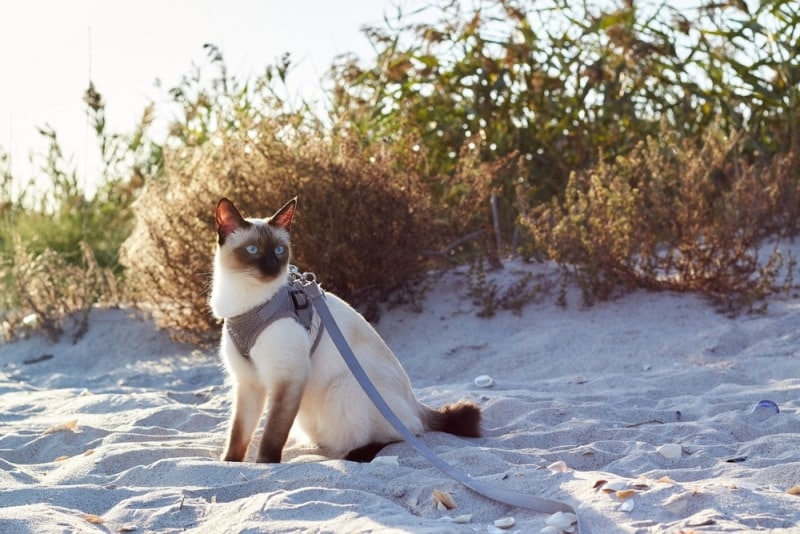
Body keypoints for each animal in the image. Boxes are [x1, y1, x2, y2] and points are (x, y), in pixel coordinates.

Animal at [208, 198, 482, 464]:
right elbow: (238, 434)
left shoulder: (289, 377)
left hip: (346, 388)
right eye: (252, 250)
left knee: (405, 435)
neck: (247, 304)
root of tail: (416, 404)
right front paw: (230, 463)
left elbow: (272, 435)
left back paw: (357, 454)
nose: (272, 267)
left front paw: (265, 464)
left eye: (279, 251)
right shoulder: (248, 382)